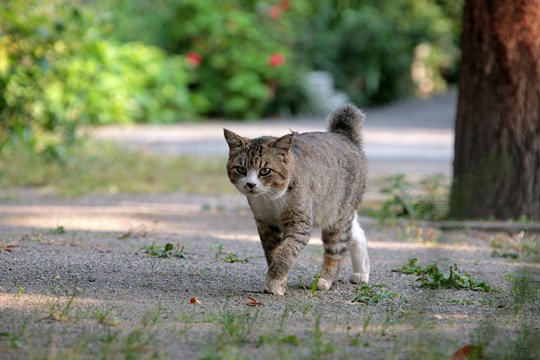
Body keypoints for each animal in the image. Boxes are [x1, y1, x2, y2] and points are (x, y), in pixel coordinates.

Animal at [221, 102, 370, 294]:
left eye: (265, 171)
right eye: (241, 169)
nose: (250, 184)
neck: (271, 200)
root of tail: (344, 135)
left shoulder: (299, 224)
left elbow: (286, 252)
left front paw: (274, 282)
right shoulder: (266, 225)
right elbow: (273, 253)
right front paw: (281, 283)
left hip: (338, 216)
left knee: (336, 248)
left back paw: (326, 280)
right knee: (356, 234)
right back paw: (361, 273)